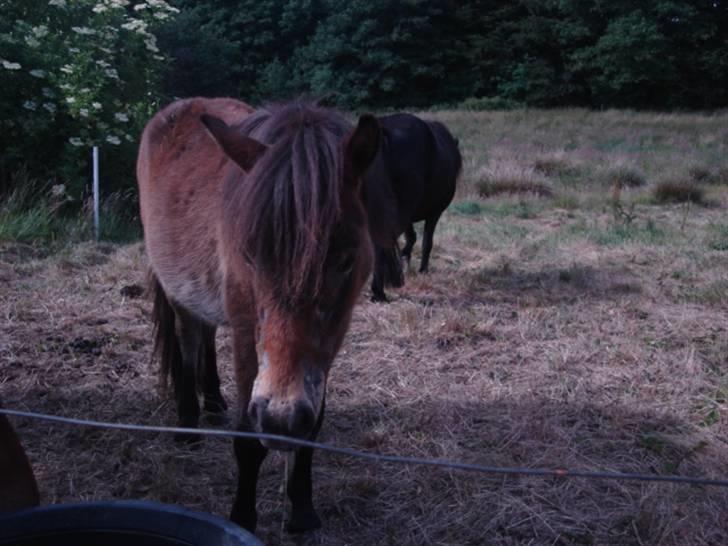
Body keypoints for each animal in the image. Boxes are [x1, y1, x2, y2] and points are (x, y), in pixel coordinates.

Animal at [139, 98, 384, 532]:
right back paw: (188, 424)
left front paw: (302, 512)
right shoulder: (246, 335)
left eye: (345, 259)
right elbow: (248, 440)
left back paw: (213, 402)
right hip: (178, 293)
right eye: (250, 255)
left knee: (205, 336)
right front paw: (242, 519)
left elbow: (312, 426)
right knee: (188, 342)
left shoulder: (328, 344)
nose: (281, 421)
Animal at [364, 113, 460, 302]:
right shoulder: (434, 213)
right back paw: (379, 291)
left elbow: (411, 237)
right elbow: (426, 242)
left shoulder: (407, 216)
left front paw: (405, 262)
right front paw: (421, 269)